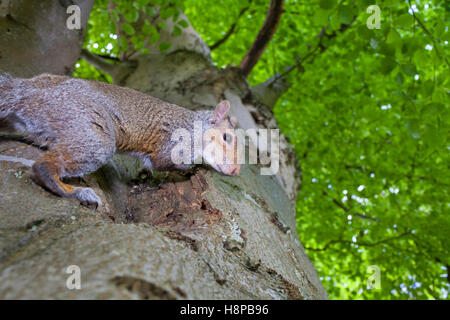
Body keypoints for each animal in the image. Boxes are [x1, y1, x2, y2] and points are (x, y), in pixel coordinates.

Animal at [0, 74, 241, 206]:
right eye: (226, 137)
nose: (236, 171)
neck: (195, 126)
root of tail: (30, 93)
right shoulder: (175, 141)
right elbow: (163, 162)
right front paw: (194, 167)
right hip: (93, 135)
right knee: (42, 167)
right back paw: (74, 192)